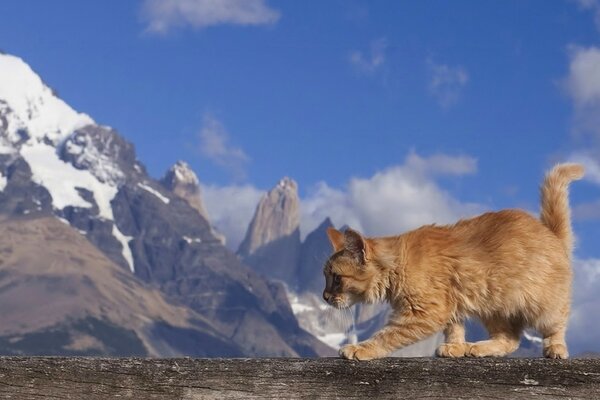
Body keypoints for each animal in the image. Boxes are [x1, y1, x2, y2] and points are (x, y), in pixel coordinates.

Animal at [324, 162, 584, 360]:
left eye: (336, 279)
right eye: (325, 277)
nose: (325, 297)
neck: (399, 263)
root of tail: (551, 233)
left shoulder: (424, 312)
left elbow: (386, 335)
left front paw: (361, 348)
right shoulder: (451, 305)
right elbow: (454, 329)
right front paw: (456, 346)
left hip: (541, 306)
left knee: (556, 325)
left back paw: (555, 348)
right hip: (493, 307)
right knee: (510, 339)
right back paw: (478, 348)